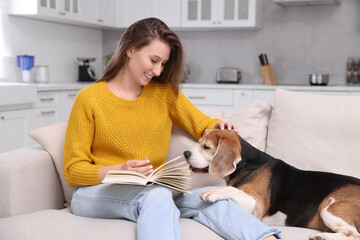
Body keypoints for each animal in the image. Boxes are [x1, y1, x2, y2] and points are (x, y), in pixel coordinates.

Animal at [184, 129, 358, 240]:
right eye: (198, 142)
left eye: (206, 147)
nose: (185, 153)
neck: (247, 165)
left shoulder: (257, 206)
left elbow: (233, 190)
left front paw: (213, 192)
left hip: (328, 208)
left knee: (354, 235)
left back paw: (321, 237)